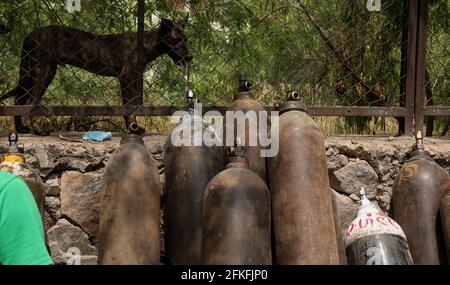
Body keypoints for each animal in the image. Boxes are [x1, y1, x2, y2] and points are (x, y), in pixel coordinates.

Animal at [0, 16, 192, 134]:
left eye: (186, 39)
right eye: (176, 40)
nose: (190, 57)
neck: (146, 44)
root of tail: (29, 34)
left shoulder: (134, 78)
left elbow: (134, 105)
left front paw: (134, 128)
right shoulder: (127, 76)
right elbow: (129, 105)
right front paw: (132, 128)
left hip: (34, 73)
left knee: (19, 100)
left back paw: (21, 129)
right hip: (43, 71)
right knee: (30, 101)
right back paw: (38, 131)